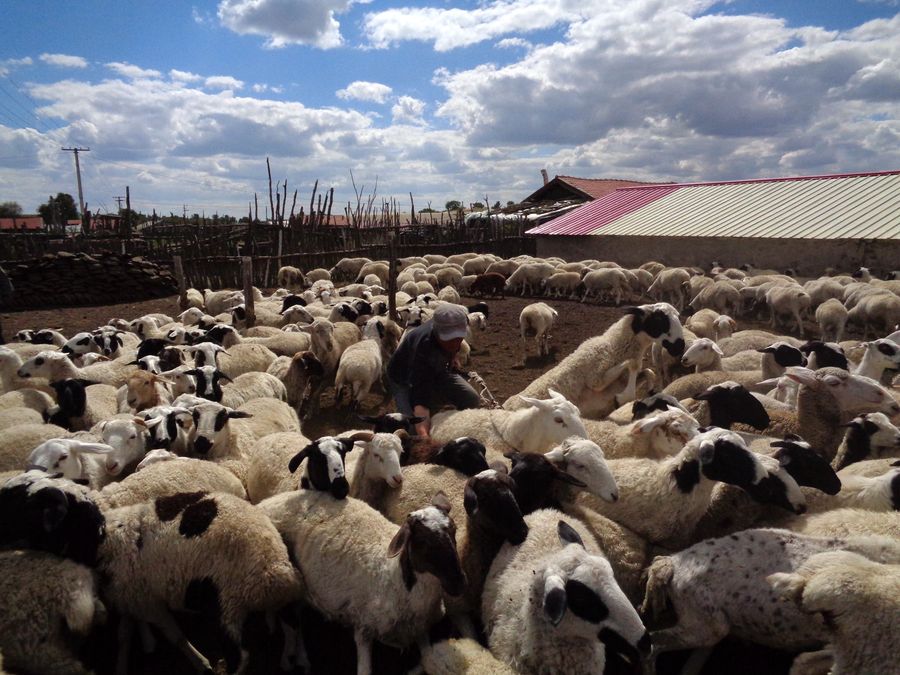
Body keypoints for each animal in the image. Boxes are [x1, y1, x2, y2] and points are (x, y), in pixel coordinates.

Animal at [4, 476, 298, 675]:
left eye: (24, 504)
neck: (102, 539)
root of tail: (276, 570)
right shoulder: (129, 598)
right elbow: (124, 636)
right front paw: (122, 666)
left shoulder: (148, 603)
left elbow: (175, 635)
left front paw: (201, 663)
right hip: (270, 602)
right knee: (291, 627)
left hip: (227, 605)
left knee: (241, 657)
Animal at [255, 492, 460, 675]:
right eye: (423, 541)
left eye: (455, 530)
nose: (459, 582)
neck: (396, 579)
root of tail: (265, 503)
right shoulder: (364, 628)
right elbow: (364, 670)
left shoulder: (420, 628)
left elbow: (429, 659)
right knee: (289, 622)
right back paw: (290, 659)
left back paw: (301, 658)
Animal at [502, 304, 684, 418]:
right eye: (659, 320)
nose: (680, 346)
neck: (613, 347)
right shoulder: (595, 378)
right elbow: (631, 365)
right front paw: (623, 397)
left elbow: (648, 372)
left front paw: (651, 388)